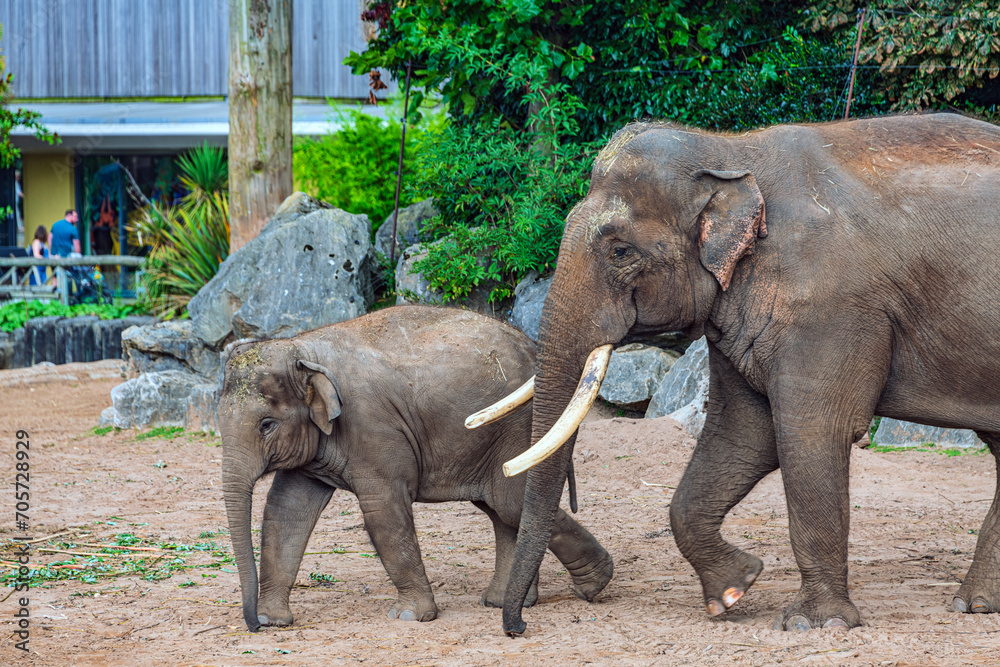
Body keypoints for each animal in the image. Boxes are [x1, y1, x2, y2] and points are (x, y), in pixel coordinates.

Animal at [218, 305, 613, 632]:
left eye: (266, 425)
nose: (251, 624)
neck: (302, 348)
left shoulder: (373, 429)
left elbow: (383, 513)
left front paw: (409, 616)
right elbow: (286, 511)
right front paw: (274, 621)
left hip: (520, 425)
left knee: (511, 504)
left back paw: (594, 584)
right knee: (501, 510)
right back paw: (504, 602)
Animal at [477, 113, 1000, 634]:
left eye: (620, 251)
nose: (518, 626)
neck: (731, 152)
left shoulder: (828, 309)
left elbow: (811, 432)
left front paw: (814, 624)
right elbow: (743, 432)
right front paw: (734, 589)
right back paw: (974, 604)